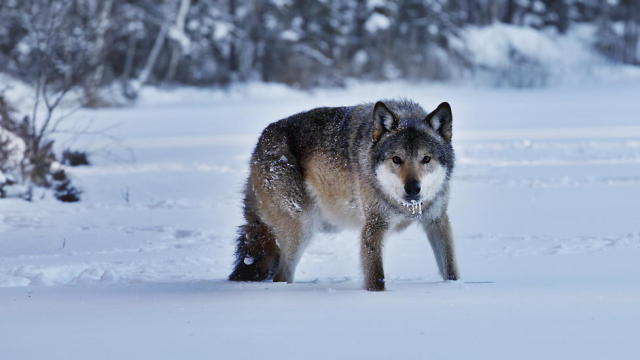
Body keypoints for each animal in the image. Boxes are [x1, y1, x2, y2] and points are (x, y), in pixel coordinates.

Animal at [230, 100, 460, 292]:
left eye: (426, 159)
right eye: (396, 159)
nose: (413, 188)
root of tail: (259, 144)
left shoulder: (437, 221)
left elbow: (451, 270)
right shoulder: (374, 226)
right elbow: (376, 279)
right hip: (302, 228)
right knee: (280, 276)